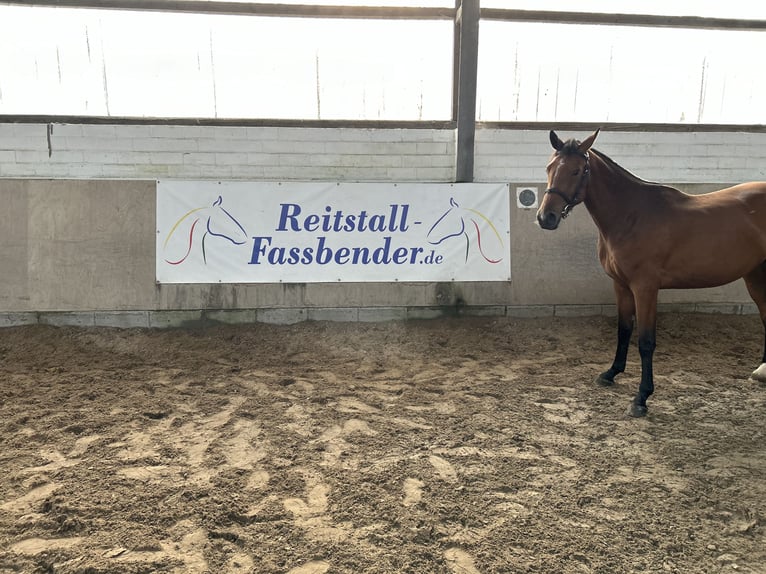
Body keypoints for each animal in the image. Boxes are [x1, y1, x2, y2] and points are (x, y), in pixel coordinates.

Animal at [536, 130, 766, 418]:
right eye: (549, 167)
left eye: (577, 171)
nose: (546, 217)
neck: (631, 216)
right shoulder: (621, 285)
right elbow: (623, 330)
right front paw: (611, 373)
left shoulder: (645, 288)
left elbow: (645, 341)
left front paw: (641, 398)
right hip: (755, 275)